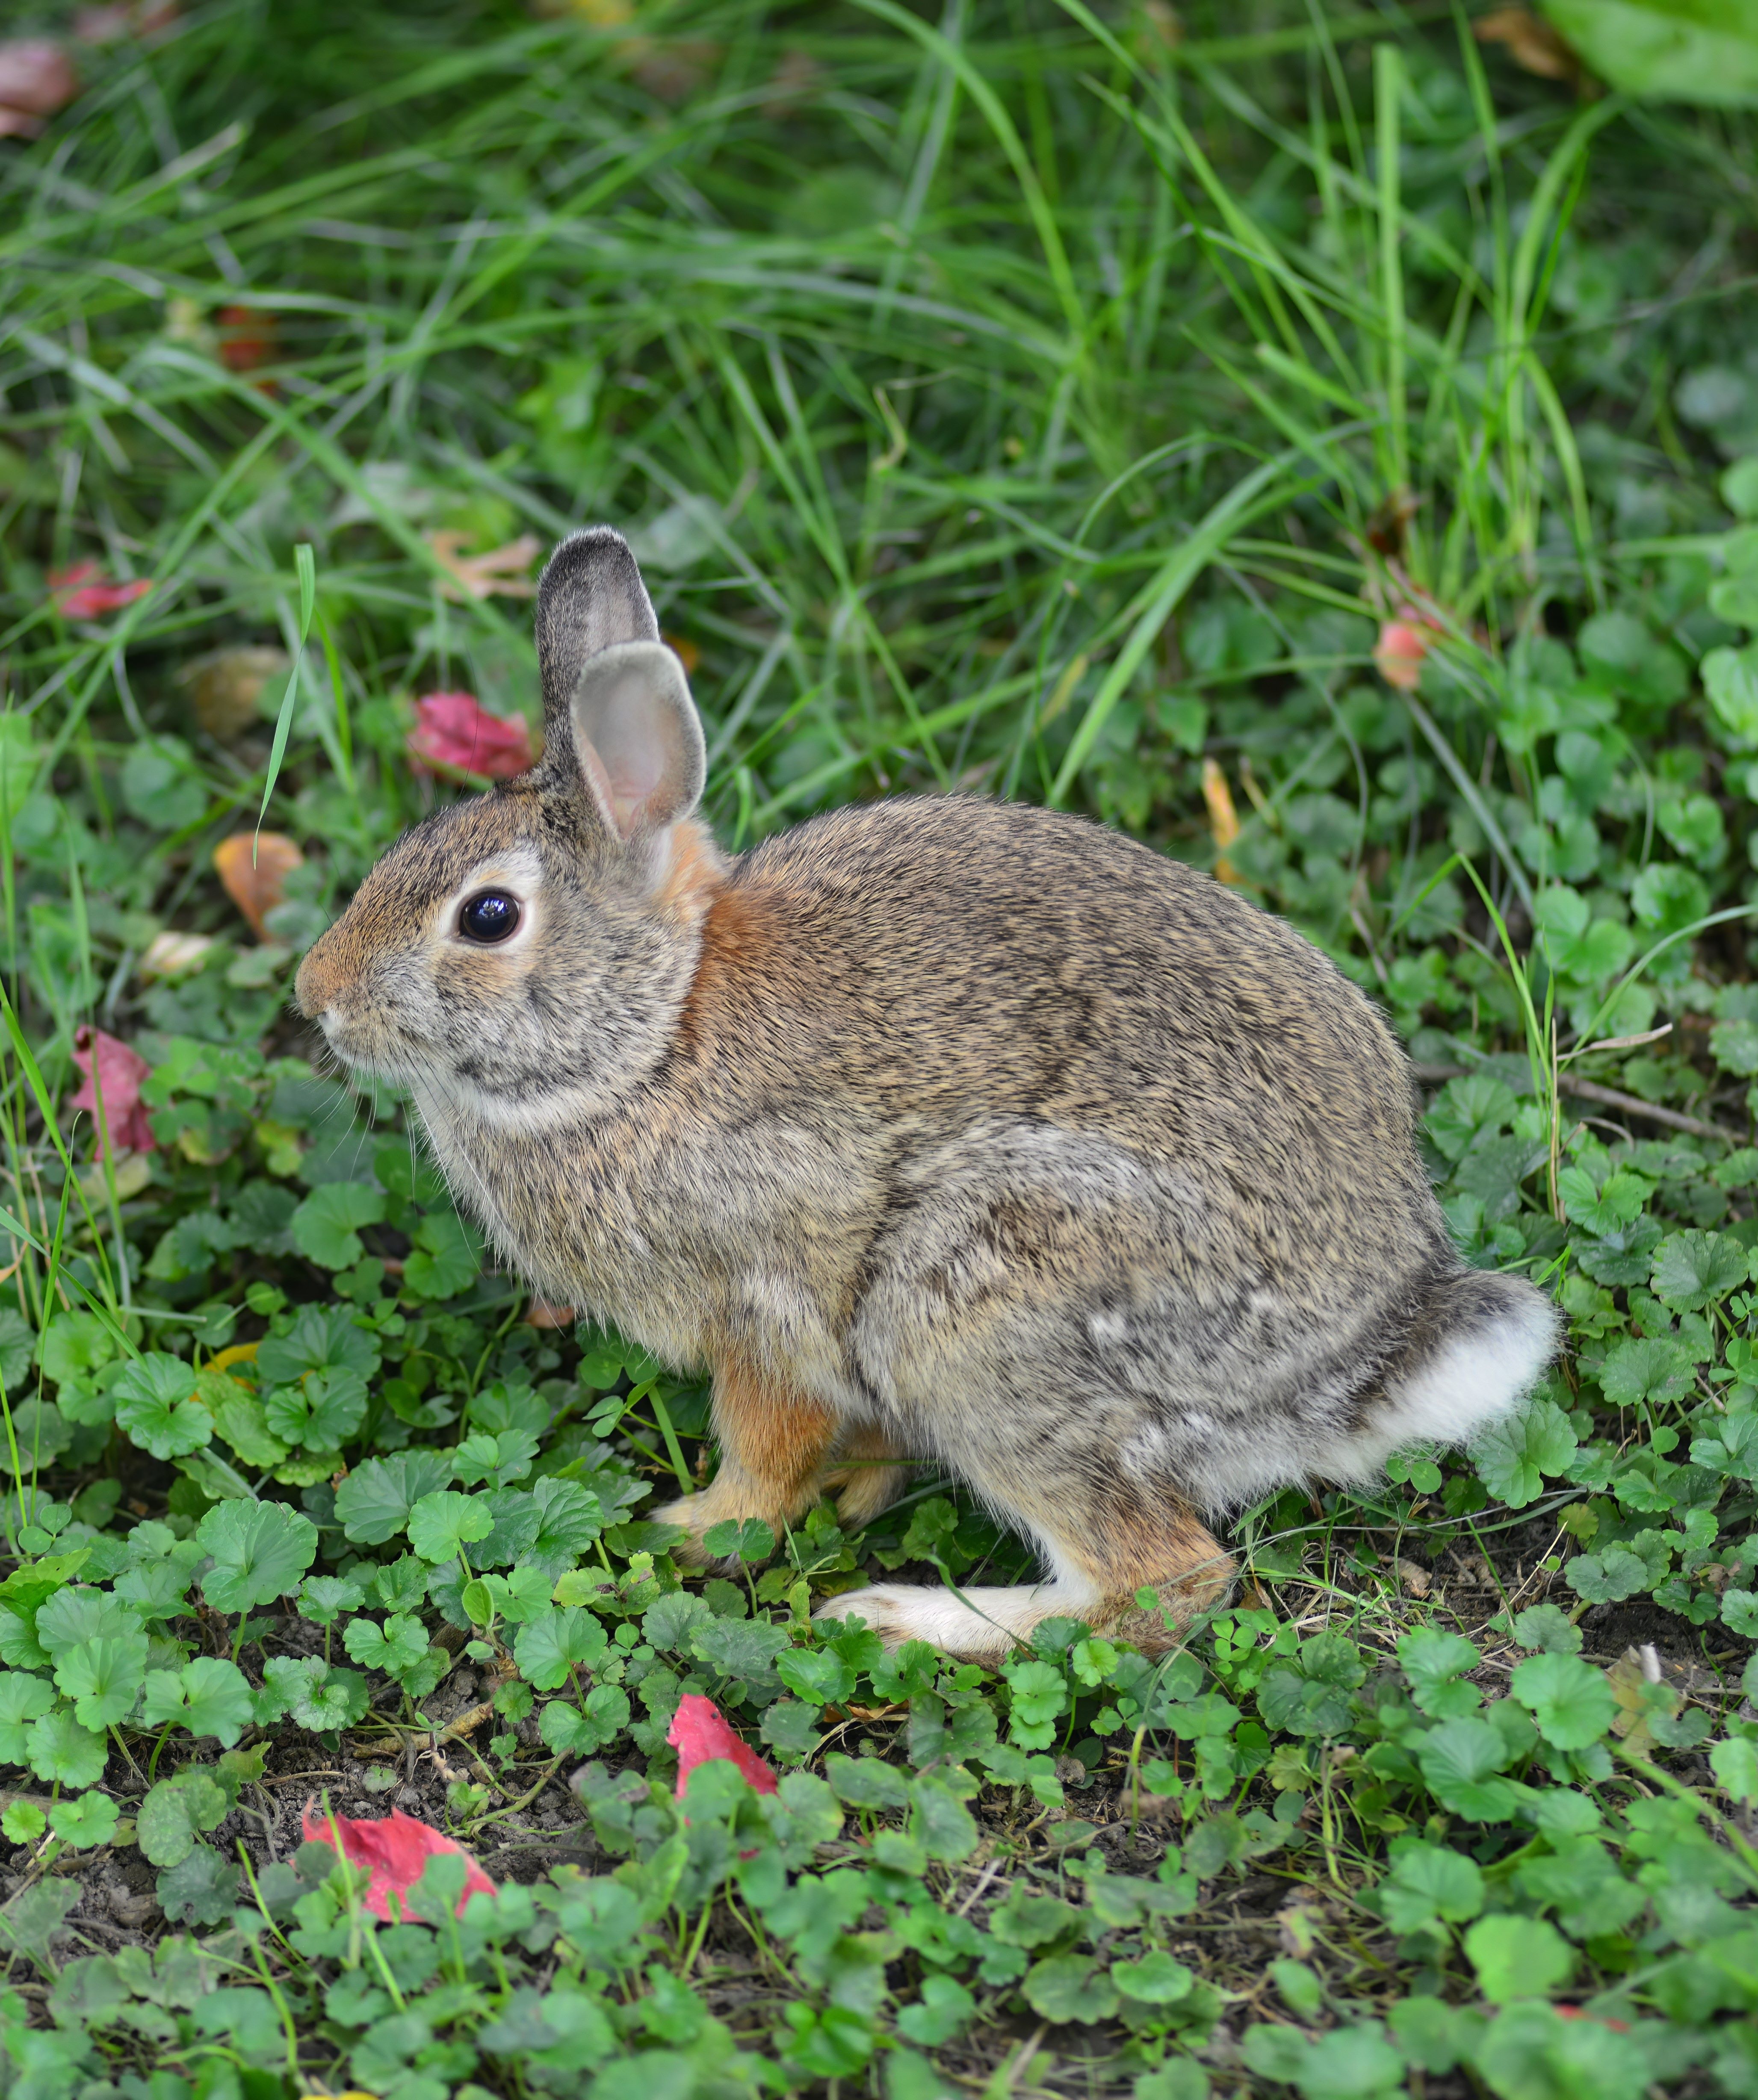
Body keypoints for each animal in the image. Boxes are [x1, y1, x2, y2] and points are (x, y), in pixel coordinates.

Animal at [295, 526, 1560, 1663]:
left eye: (487, 917)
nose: (317, 997)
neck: (651, 1037)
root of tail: (1366, 1357)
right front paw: (855, 1488)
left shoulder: (766, 1305)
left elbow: (765, 1450)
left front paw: (693, 1530)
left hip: (980, 1313)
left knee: (1163, 1581)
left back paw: (905, 1619)